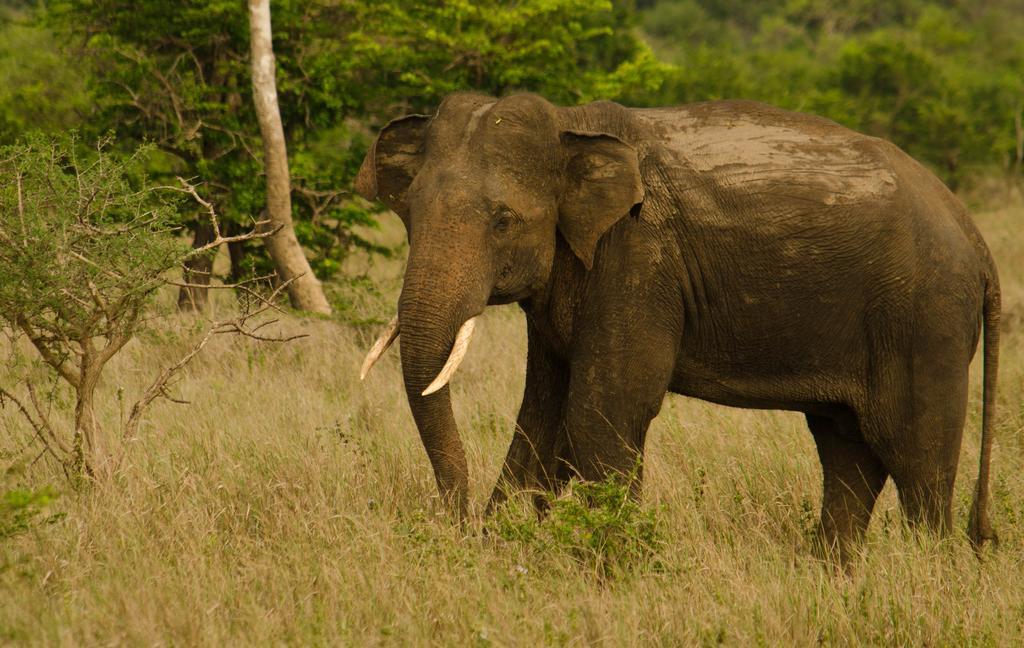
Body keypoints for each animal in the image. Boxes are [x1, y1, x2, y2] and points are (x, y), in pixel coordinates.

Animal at [354, 88, 999, 556]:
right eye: (408, 213)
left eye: (503, 221)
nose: (458, 524)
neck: (570, 125)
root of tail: (972, 233)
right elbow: (541, 414)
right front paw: (511, 547)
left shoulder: (638, 256)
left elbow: (602, 410)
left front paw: (605, 562)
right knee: (847, 451)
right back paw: (835, 573)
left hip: (924, 316)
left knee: (915, 457)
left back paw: (924, 569)